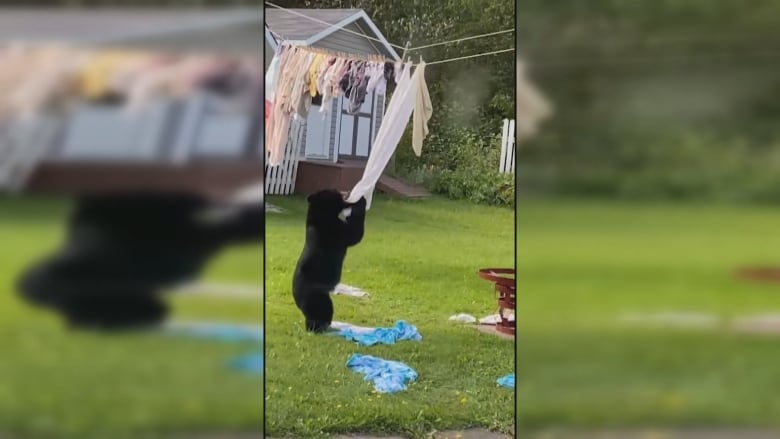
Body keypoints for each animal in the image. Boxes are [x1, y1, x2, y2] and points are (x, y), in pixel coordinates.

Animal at [294, 189, 368, 334]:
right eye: (337, 192)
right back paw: (320, 327)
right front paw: (361, 202)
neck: (322, 214)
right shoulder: (333, 230)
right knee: (321, 311)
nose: (346, 192)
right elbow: (354, 234)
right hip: (317, 296)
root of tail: (297, 298)